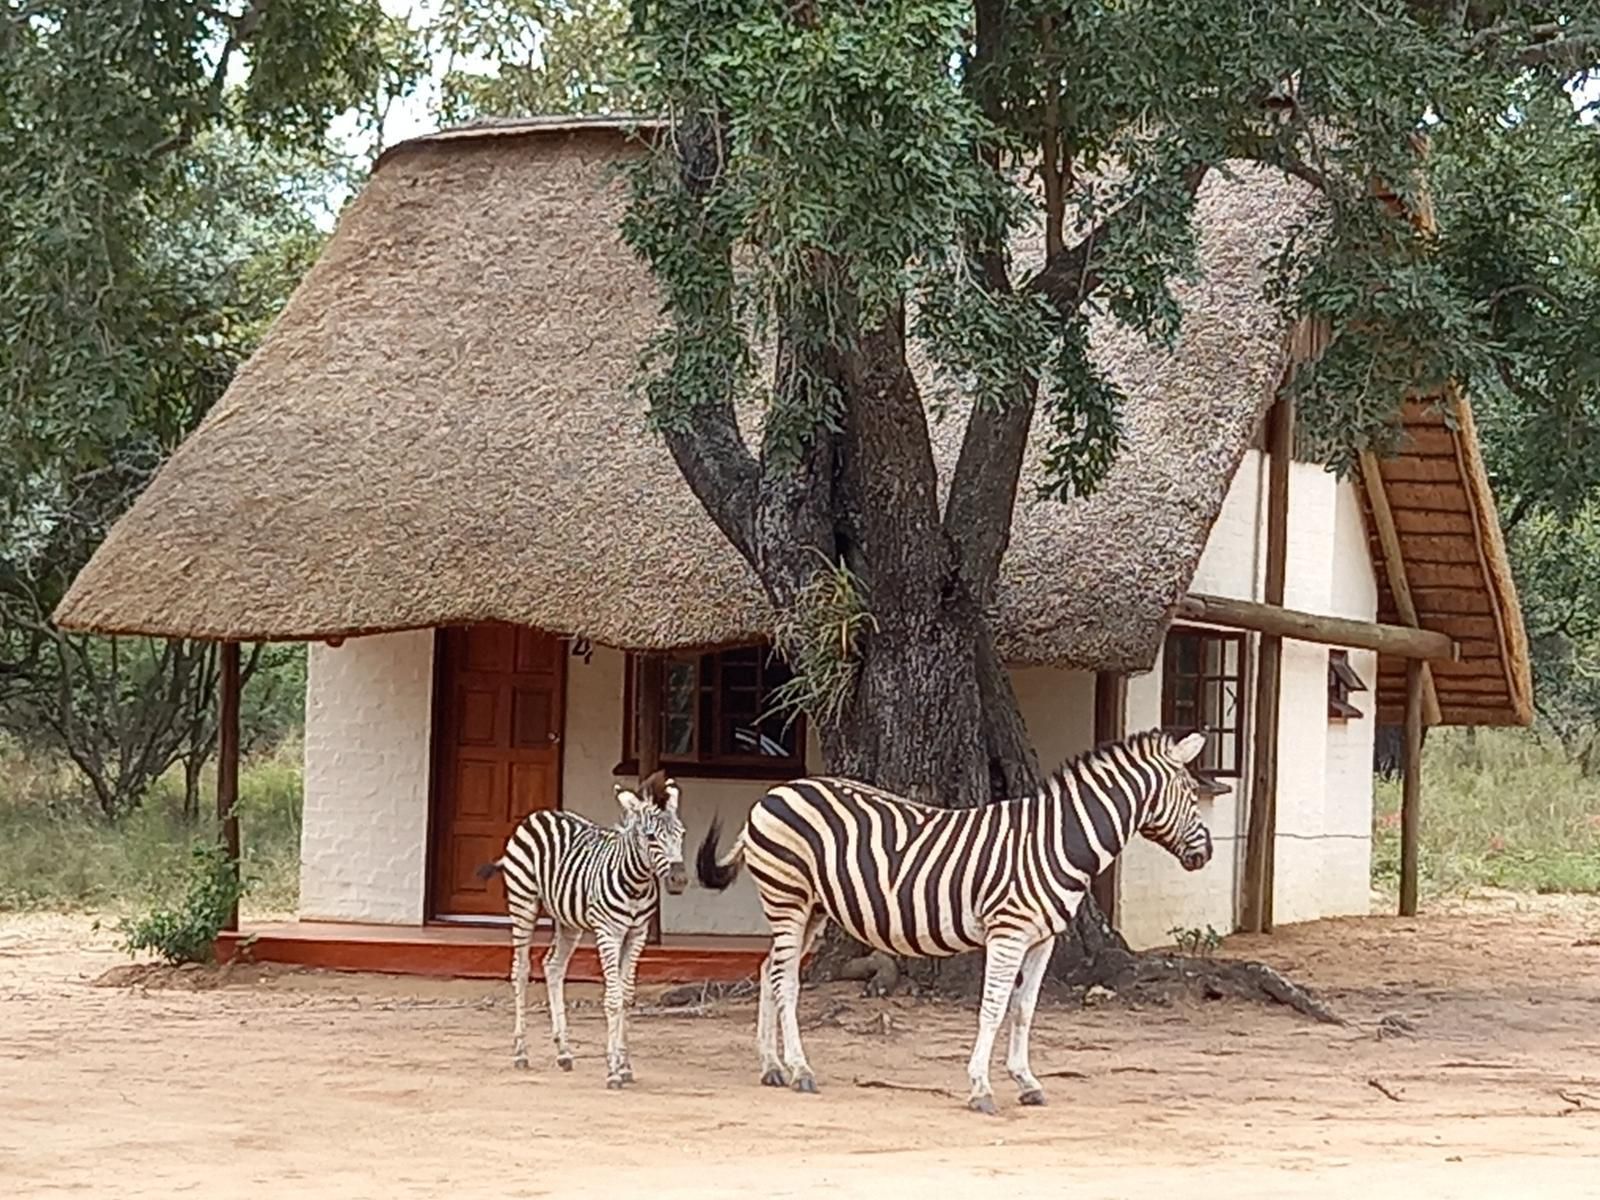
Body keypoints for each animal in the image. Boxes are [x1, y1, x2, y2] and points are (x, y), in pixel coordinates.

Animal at [476, 771, 684, 1088]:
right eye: (651, 837)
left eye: (681, 834)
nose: (679, 879)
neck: (636, 884)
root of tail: (539, 814)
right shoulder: (608, 932)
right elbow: (613, 998)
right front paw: (612, 1070)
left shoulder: (636, 934)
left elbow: (626, 995)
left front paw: (625, 1065)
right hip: (523, 901)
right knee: (521, 970)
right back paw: (521, 1052)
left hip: (567, 920)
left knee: (553, 966)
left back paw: (564, 1052)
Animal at [697, 732, 1222, 1120]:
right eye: (1191, 793)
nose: (1208, 854)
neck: (1057, 842)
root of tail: (776, 792)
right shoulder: (1009, 931)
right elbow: (992, 1008)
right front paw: (981, 1088)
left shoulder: (1043, 939)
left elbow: (1024, 1010)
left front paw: (1026, 1081)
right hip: (787, 896)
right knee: (786, 981)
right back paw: (800, 1069)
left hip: (812, 908)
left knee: (770, 970)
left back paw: (771, 1066)